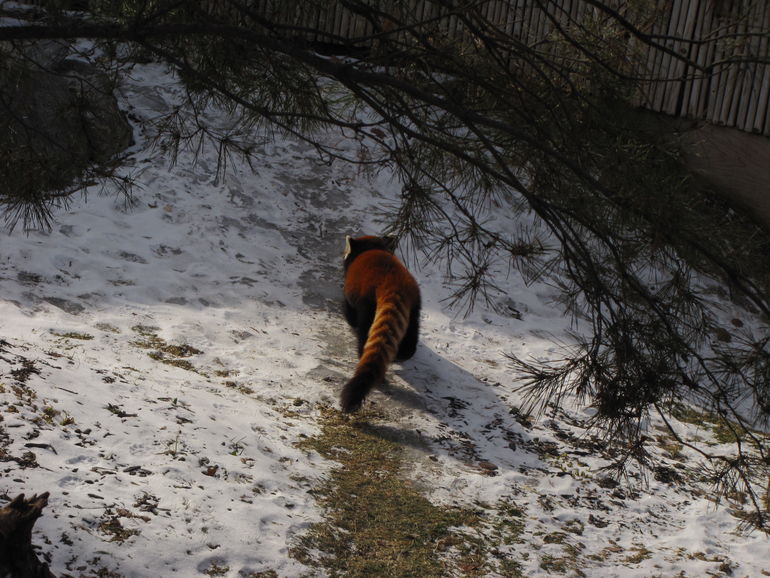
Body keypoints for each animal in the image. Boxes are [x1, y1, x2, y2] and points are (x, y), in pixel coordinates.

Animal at [340, 234, 420, 410]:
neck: (371, 248)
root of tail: (392, 283)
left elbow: (349, 310)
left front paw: (349, 321)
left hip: (367, 302)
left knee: (364, 331)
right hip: (415, 304)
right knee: (412, 334)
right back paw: (402, 355)